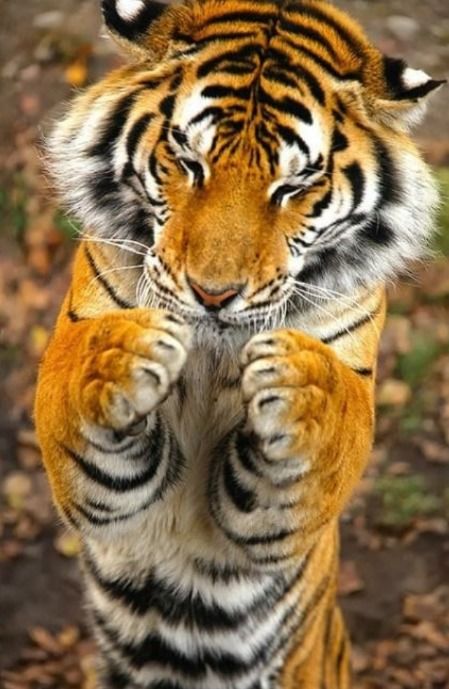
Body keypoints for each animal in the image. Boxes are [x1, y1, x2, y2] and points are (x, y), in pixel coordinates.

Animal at [34, 0, 444, 687]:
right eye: (187, 161)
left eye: (292, 187)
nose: (213, 294)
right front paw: (126, 354)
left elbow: (331, 425)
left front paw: (297, 383)